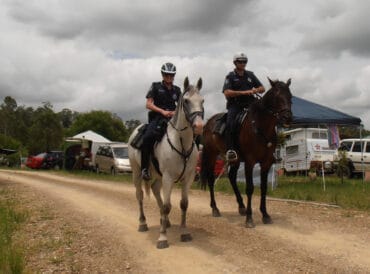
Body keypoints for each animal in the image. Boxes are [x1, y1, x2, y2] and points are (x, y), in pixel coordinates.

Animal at [128, 76, 204, 248]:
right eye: (186, 101)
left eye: (202, 100)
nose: (199, 126)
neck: (181, 143)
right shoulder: (168, 177)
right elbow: (168, 206)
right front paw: (162, 238)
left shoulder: (188, 178)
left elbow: (183, 204)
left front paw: (184, 232)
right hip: (137, 173)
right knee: (139, 195)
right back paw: (143, 223)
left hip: (158, 176)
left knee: (156, 190)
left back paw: (166, 222)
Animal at [202, 78, 292, 227]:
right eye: (277, 97)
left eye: (290, 96)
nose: (288, 118)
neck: (260, 127)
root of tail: (208, 122)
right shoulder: (250, 162)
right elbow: (250, 188)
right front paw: (250, 219)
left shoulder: (266, 163)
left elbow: (263, 188)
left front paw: (265, 215)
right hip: (211, 155)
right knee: (210, 179)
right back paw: (215, 208)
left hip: (235, 160)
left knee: (232, 177)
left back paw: (241, 206)